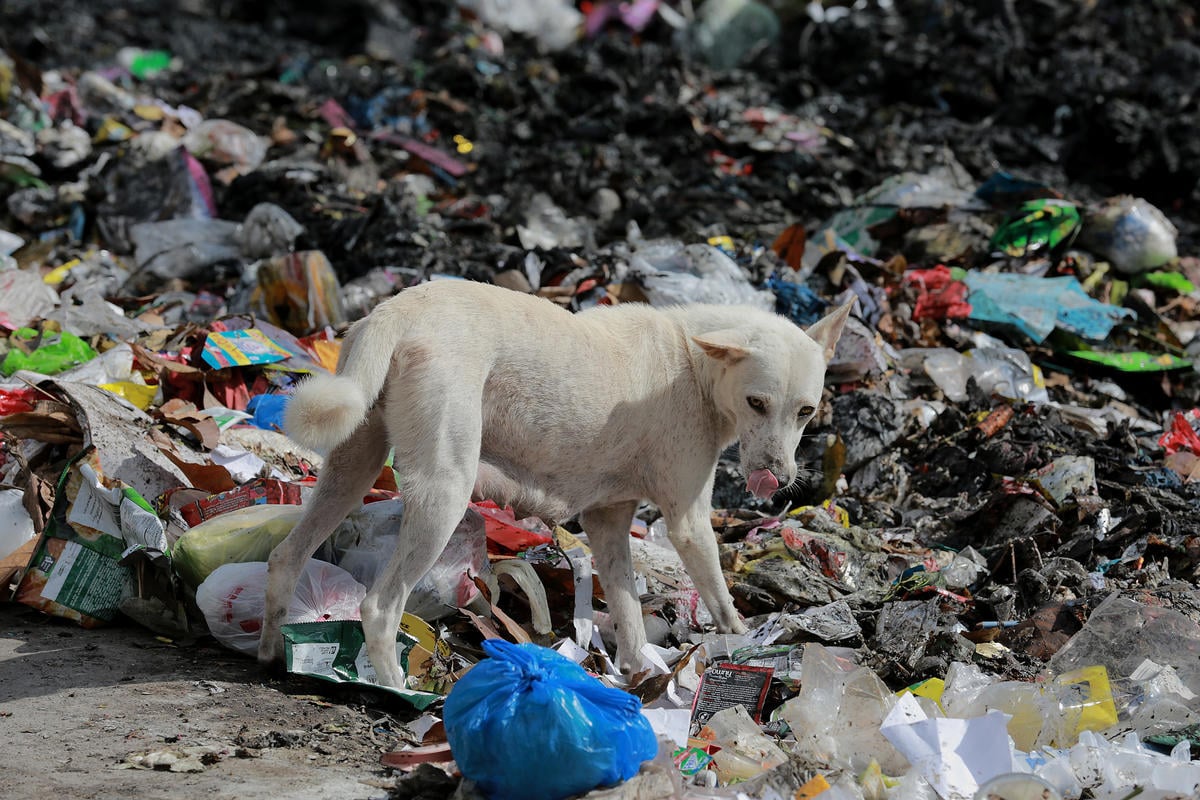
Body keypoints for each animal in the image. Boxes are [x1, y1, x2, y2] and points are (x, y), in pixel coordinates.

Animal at [260, 281, 854, 690]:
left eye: (806, 412)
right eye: (757, 403)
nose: (778, 479)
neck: (696, 360)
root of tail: (396, 309)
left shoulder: (610, 521)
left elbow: (628, 612)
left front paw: (638, 675)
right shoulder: (687, 520)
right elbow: (721, 599)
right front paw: (740, 642)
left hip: (351, 468)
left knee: (287, 556)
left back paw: (269, 649)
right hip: (443, 494)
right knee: (380, 606)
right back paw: (395, 690)